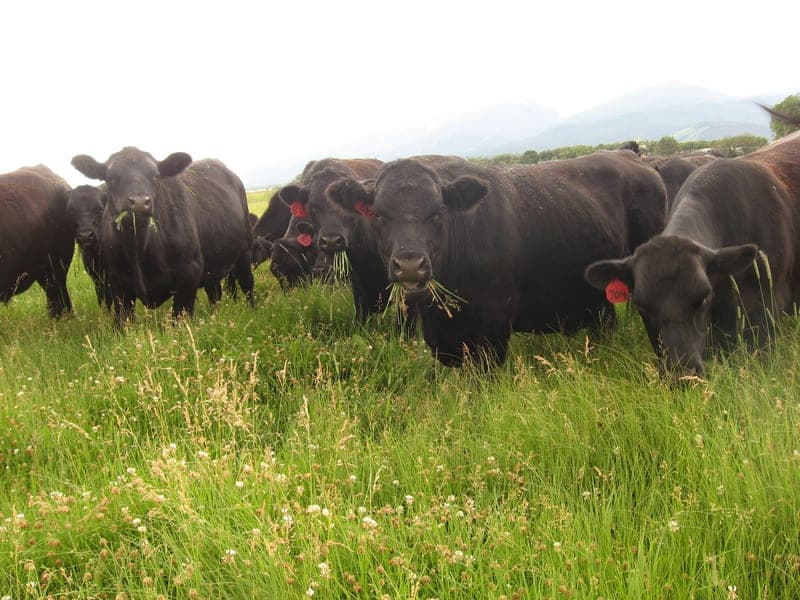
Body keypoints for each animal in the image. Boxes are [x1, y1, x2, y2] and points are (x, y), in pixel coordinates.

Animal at [71, 147, 254, 323]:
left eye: (156, 175)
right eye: (110, 177)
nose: (139, 202)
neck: (139, 249)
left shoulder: (189, 275)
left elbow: (179, 318)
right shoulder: (115, 282)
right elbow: (122, 321)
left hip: (244, 252)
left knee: (247, 284)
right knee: (215, 292)